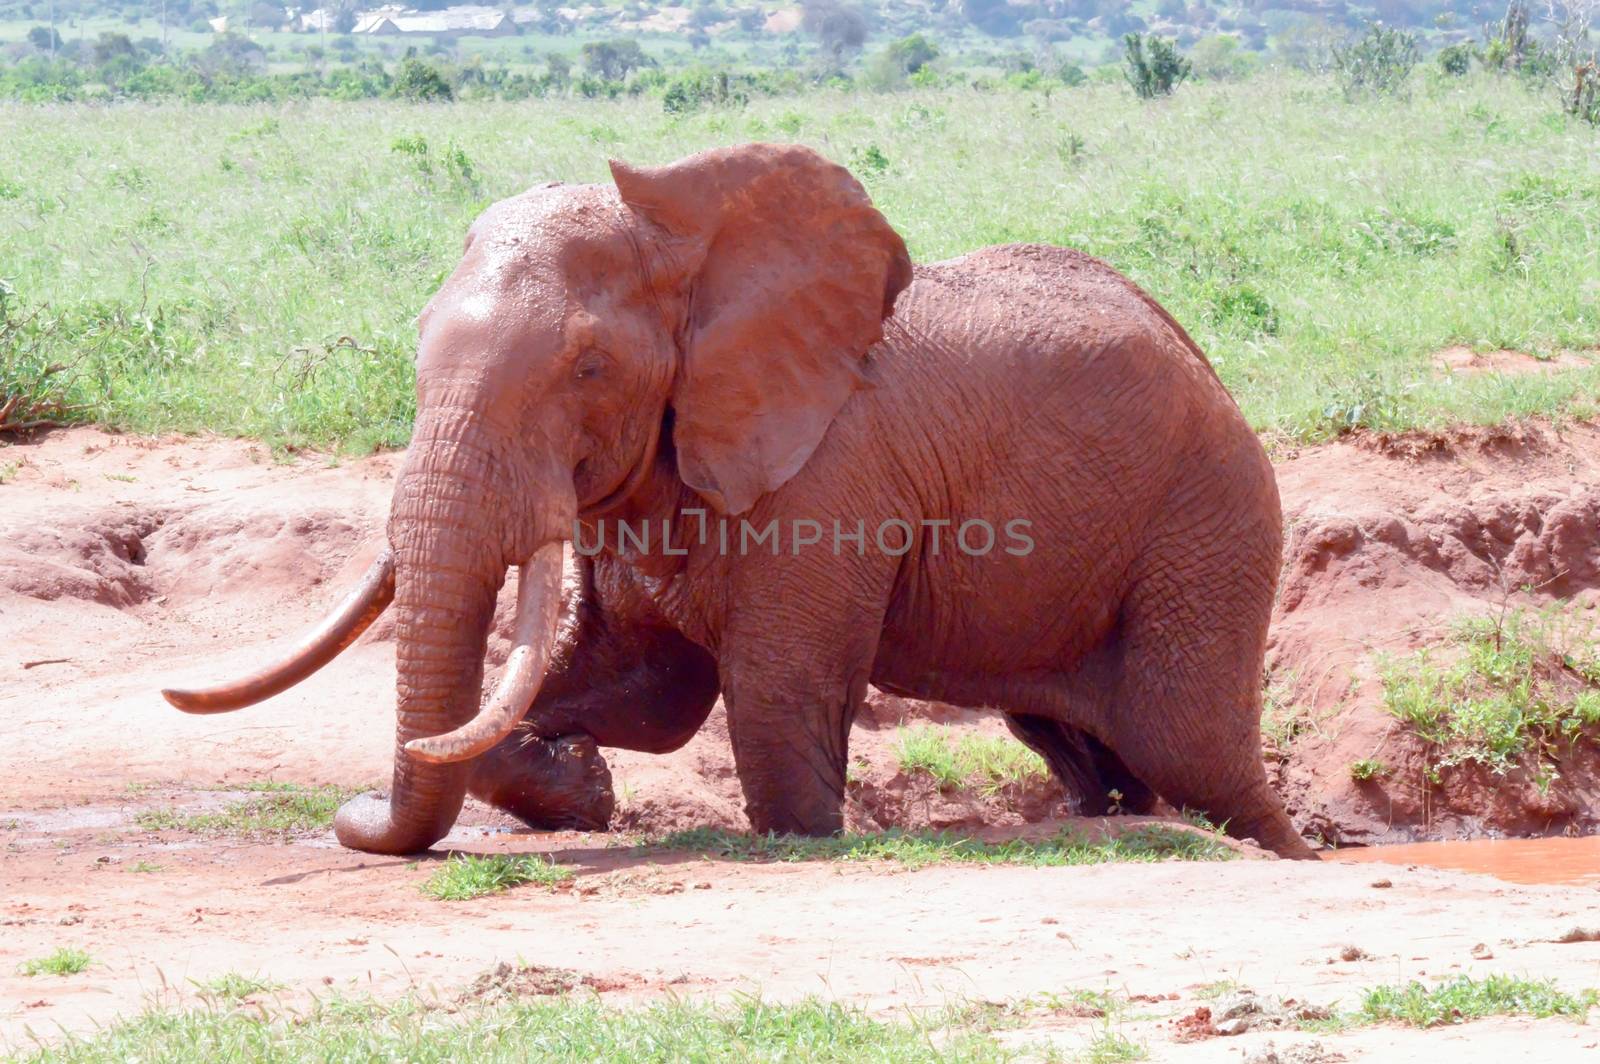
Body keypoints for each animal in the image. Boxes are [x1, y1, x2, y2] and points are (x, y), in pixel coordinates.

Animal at [159, 140, 1312, 857]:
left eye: (586, 368)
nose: (353, 808)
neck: (689, 246)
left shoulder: (830, 478)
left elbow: (770, 703)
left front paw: (799, 832)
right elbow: (638, 687)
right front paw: (578, 785)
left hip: (1208, 520)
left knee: (1190, 743)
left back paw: (1287, 850)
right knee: (1098, 753)